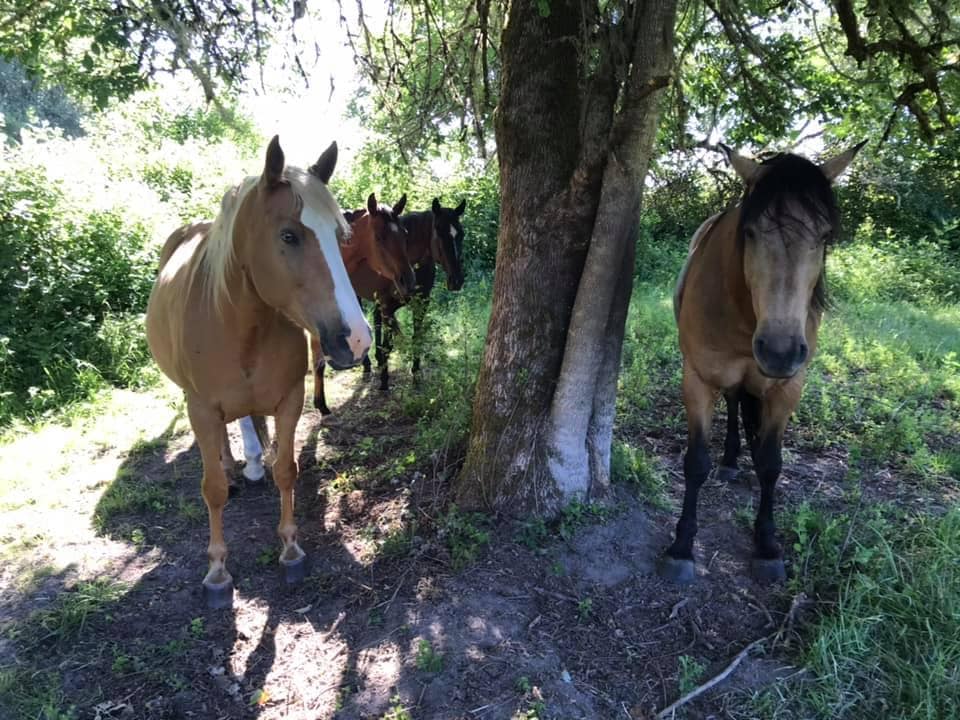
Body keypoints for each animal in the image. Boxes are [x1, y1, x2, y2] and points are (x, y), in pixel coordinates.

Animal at [146, 136, 372, 608]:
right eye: (288, 235)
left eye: (340, 237)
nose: (358, 339)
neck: (236, 320)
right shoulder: (201, 408)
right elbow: (211, 488)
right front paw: (217, 570)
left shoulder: (290, 398)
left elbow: (287, 468)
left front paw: (290, 547)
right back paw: (236, 467)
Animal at [354, 195, 470, 388]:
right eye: (439, 231)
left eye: (461, 234)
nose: (457, 280)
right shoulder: (388, 306)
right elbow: (389, 343)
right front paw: (384, 381)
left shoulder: (421, 303)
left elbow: (416, 337)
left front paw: (415, 373)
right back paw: (368, 364)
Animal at [656, 141, 868, 584]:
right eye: (750, 232)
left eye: (825, 235)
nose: (780, 350)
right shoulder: (696, 379)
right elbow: (695, 463)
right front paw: (682, 547)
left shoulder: (788, 387)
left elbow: (772, 464)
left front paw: (767, 545)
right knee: (736, 402)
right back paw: (731, 460)